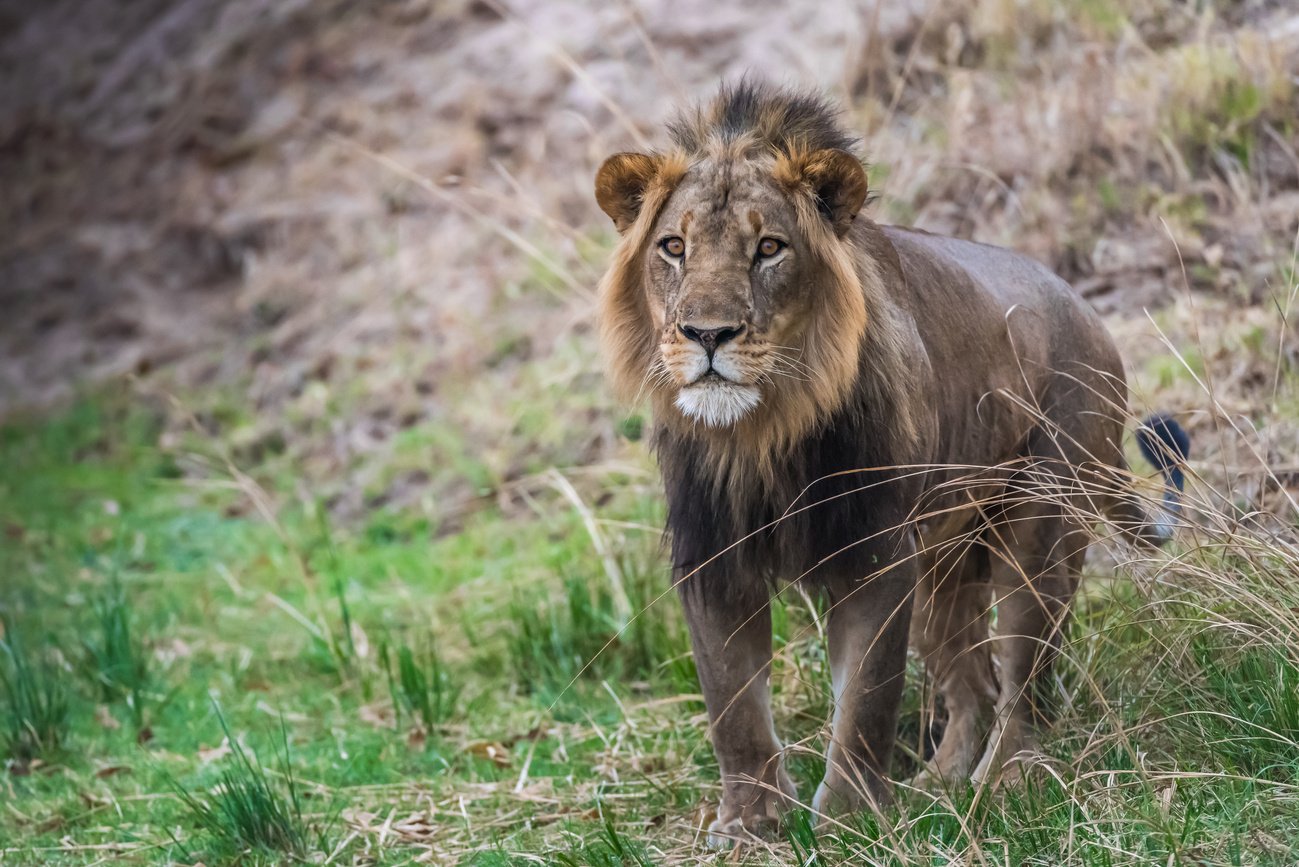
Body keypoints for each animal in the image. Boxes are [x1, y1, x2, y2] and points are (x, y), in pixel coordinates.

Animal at [594, 83, 1184, 847]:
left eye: (768, 248)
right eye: (673, 247)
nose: (707, 334)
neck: (761, 434)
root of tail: (1091, 312)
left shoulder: (875, 553)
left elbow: (866, 700)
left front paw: (850, 817)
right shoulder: (712, 557)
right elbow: (732, 706)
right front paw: (750, 824)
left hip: (1040, 524)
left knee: (1021, 679)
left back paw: (1004, 781)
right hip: (942, 561)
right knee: (972, 685)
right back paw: (941, 785)